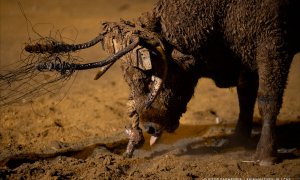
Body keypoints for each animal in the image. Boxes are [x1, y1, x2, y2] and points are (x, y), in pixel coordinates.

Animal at [24, 0, 300, 166]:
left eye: (149, 74)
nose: (149, 127)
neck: (220, 12)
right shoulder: (244, 54)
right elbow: (245, 95)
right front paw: (238, 140)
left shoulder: (273, 45)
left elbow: (267, 99)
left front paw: (265, 154)